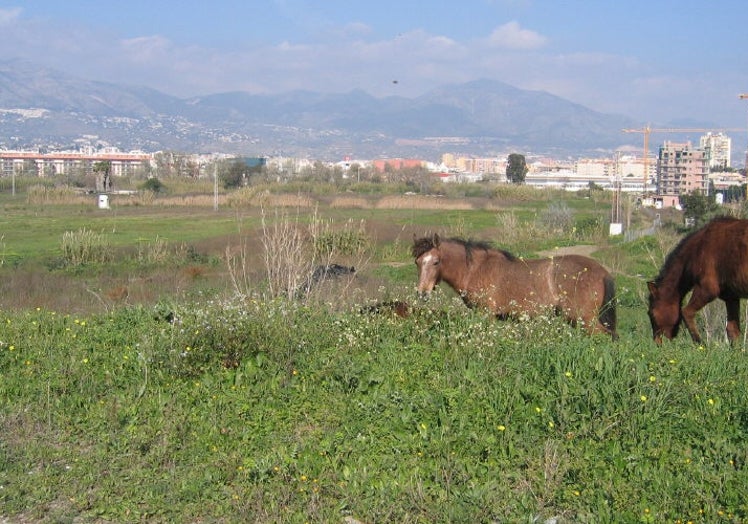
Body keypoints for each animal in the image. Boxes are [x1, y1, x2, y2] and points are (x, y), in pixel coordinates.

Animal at [412, 234, 616, 340]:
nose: (422, 293)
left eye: (436, 262)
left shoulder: (487, 315)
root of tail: (603, 272)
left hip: (585, 320)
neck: (477, 268)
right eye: (418, 262)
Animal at [644, 216, 748, 344]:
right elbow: (733, 330)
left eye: (651, 314)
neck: (696, 250)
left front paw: (699, 342)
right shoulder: (731, 296)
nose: (657, 342)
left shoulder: (707, 289)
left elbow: (686, 312)